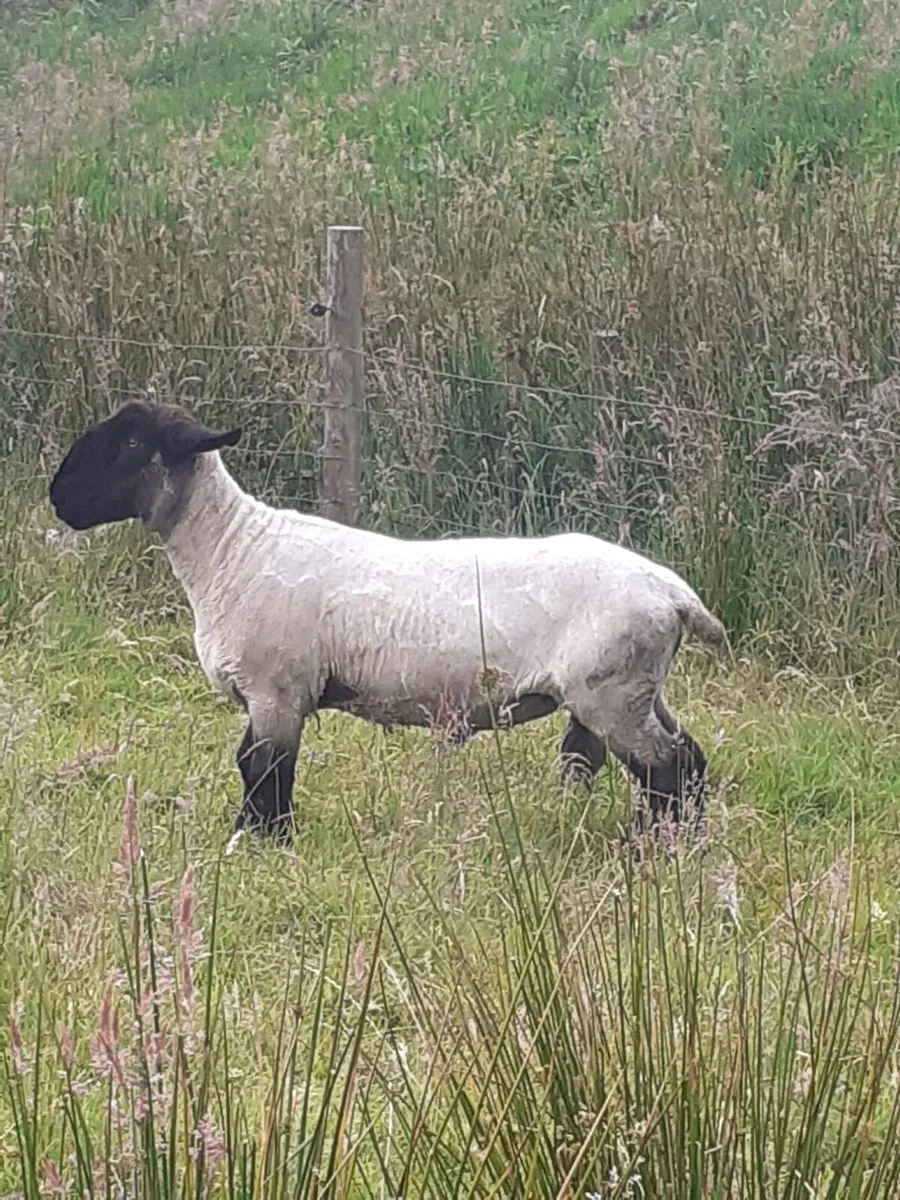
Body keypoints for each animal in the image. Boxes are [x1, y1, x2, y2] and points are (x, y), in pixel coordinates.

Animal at [49, 399, 725, 844]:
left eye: (131, 445)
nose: (58, 497)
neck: (232, 549)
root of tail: (673, 594)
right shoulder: (272, 694)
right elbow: (253, 766)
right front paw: (258, 836)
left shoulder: (276, 690)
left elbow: (265, 770)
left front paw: (266, 841)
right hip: (637, 689)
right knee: (688, 760)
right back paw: (678, 843)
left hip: (611, 693)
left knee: (666, 767)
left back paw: (656, 849)